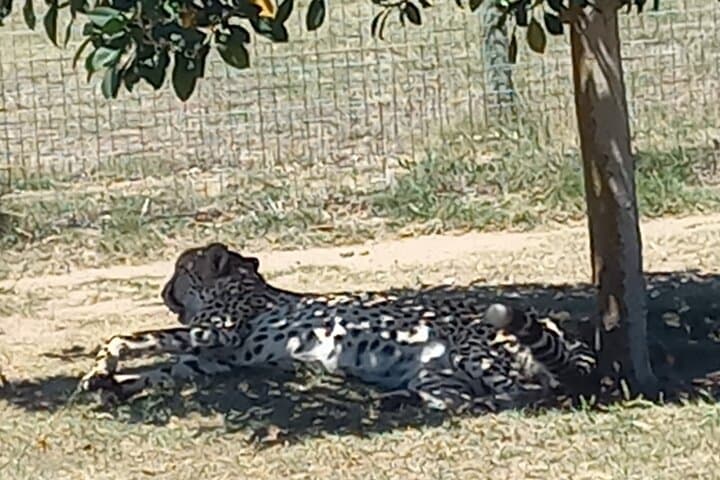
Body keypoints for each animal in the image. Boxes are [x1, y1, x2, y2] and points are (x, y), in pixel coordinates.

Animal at [77, 242, 597, 413]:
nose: (163, 291)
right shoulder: (211, 362)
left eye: (182, 270)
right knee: (456, 400)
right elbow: (161, 370)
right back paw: (396, 401)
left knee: (529, 393)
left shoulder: (218, 333)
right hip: (437, 372)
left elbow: (131, 336)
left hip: (476, 352)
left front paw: (103, 367)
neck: (242, 282)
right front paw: (109, 383)